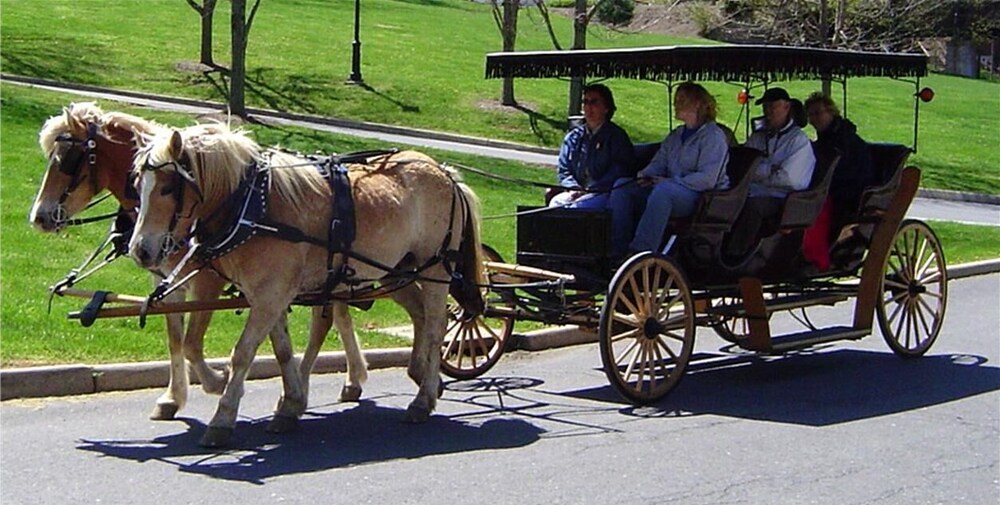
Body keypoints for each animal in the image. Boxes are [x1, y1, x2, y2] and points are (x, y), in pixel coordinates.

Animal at [130, 125, 484, 444]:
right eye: (137, 185)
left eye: (167, 188)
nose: (140, 250)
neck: (253, 205)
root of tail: (445, 172)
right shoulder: (269, 294)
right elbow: (282, 350)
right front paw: (290, 404)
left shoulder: (269, 294)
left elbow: (241, 353)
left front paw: (223, 411)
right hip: (397, 270)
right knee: (420, 315)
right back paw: (423, 375)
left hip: (435, 268)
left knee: (437, 326)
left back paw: (422, 399)